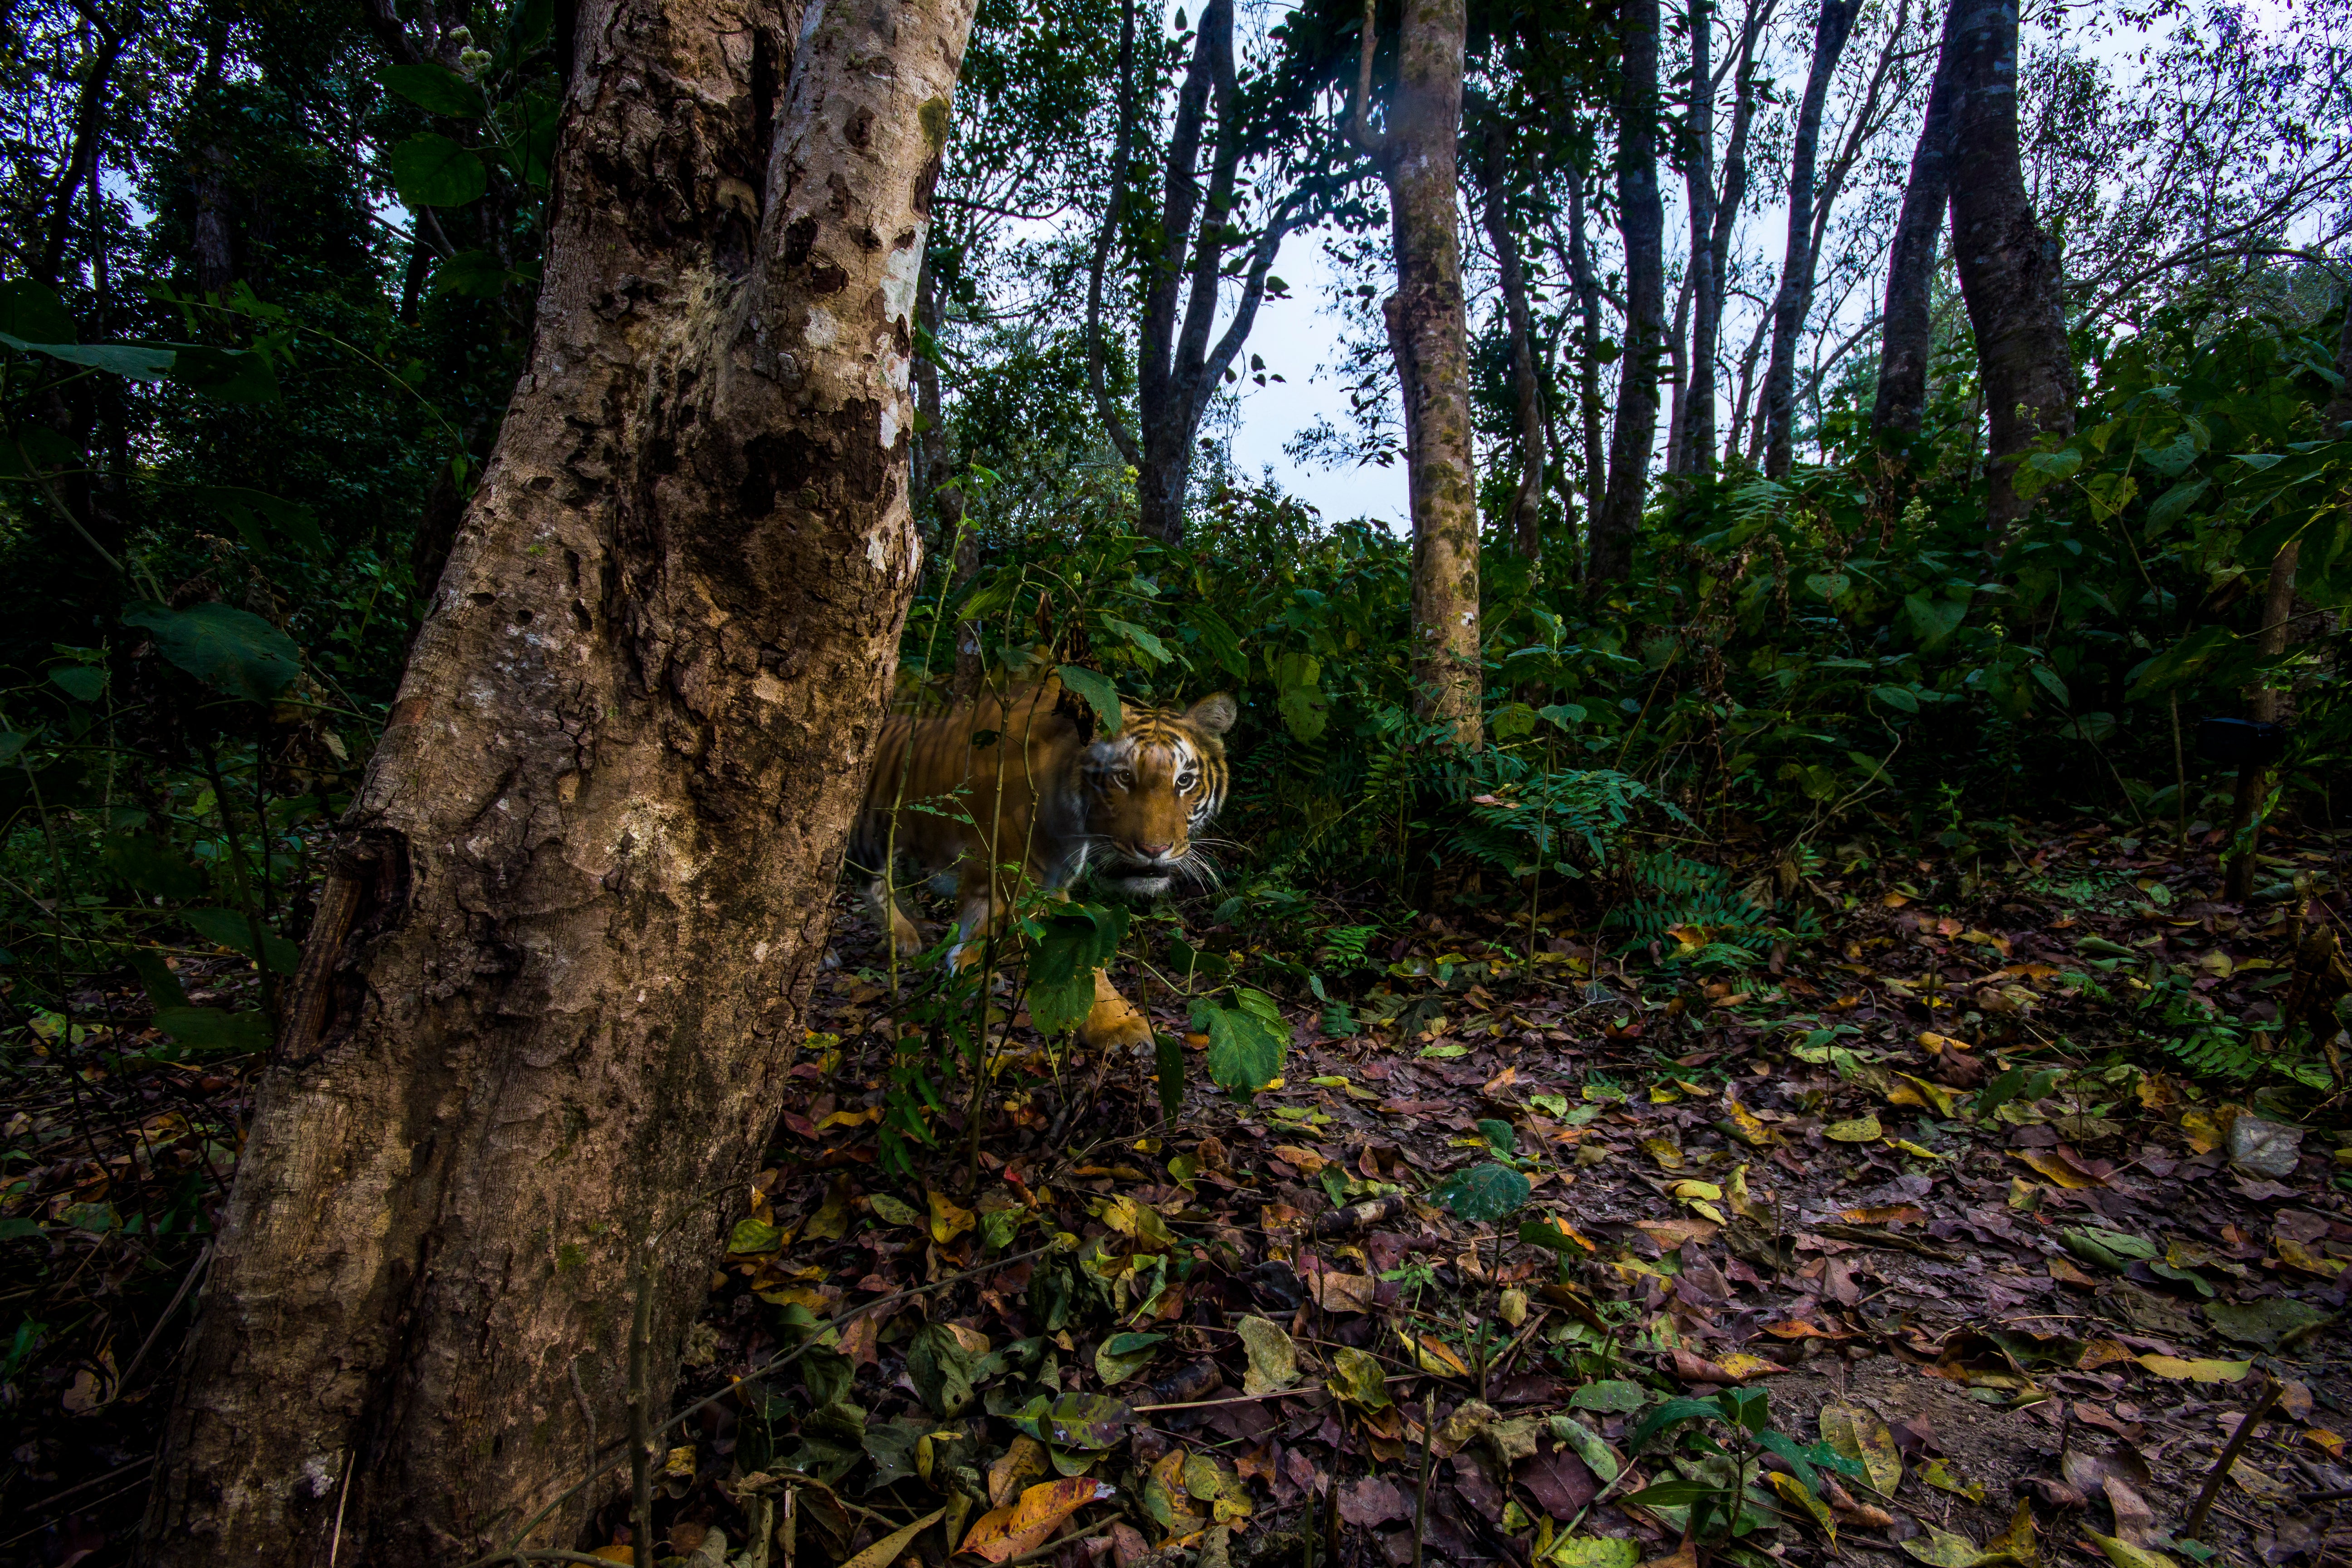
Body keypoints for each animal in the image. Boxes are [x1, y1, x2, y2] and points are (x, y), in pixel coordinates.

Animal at [851, 677, 1251, 1053]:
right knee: (868, 879)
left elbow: (976, 920)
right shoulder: (1024, 878)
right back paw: (899, 938)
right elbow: (1080, 956)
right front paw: (1120, 1026)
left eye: (1184, 781)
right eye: (1123, 777)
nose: (1155, 849)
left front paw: (967, 965)